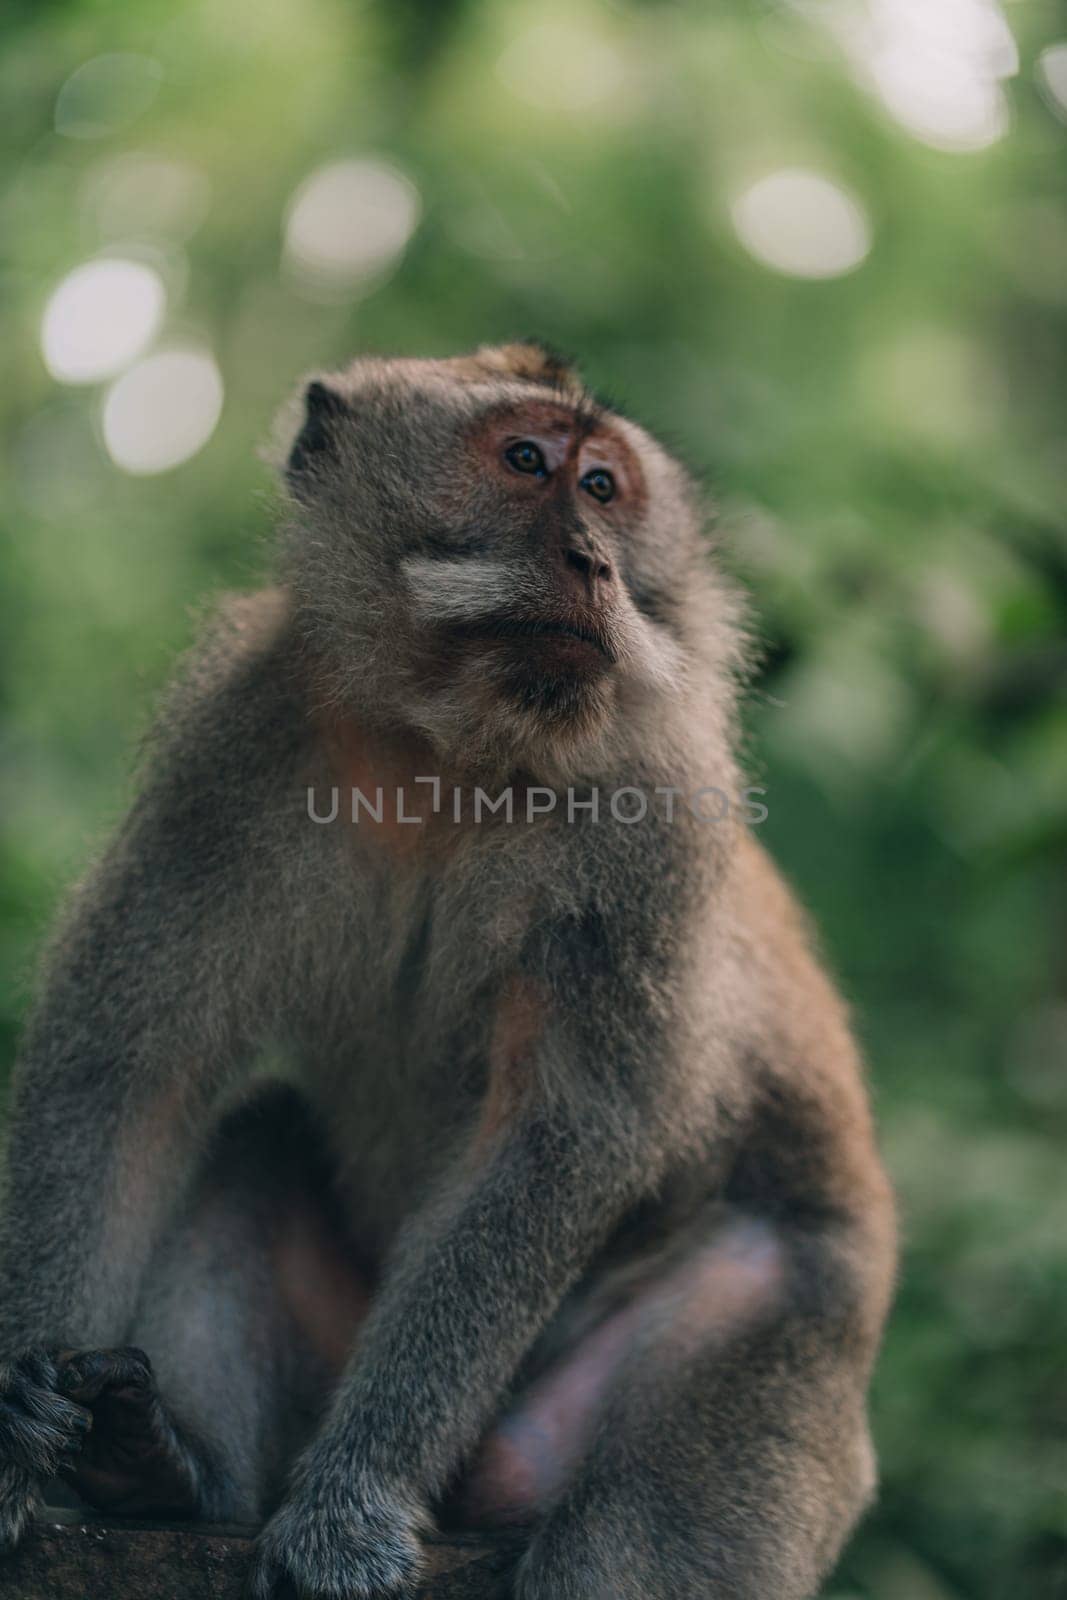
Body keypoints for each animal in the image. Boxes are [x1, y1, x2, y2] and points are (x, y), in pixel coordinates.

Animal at [0, 340, 902, 1600]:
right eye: (524, 460)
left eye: (603, 488)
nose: (589, 558)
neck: (456, 752)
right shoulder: (238, 738)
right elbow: (126, 1071)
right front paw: (15, 1432)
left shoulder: (650, 818)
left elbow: (556, 1136)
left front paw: (349, 1500)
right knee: (255, 1137)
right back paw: (164, 1468)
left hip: (784, 1363)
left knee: (625, 1540)